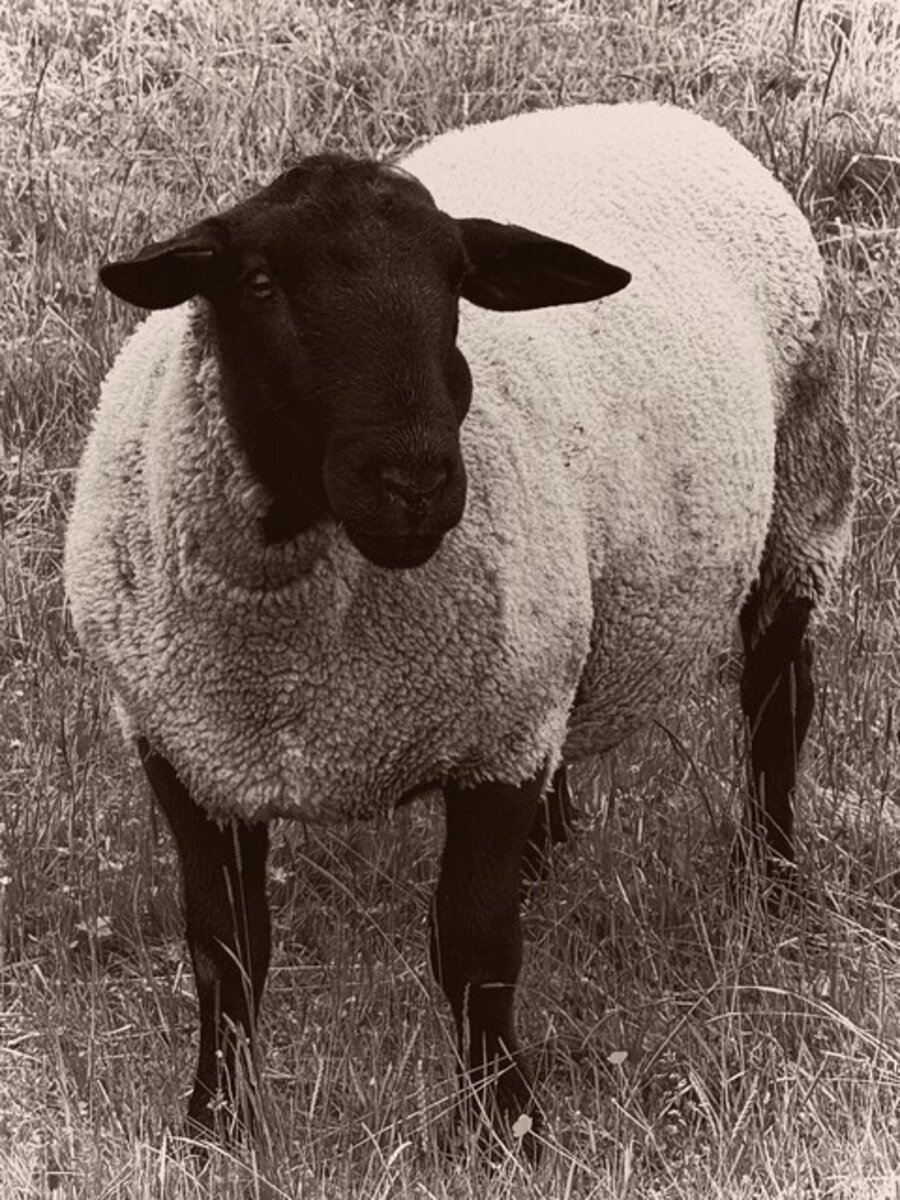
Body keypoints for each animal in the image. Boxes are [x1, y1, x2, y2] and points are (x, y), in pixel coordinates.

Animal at [64, 101, 855, 1158]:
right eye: (260, 281)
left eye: (455, 282)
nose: (416, 480)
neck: (296, 665)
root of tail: (640, 108)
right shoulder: (186, 747)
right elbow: (224, 947)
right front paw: (215, 1120)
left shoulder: (496, 740)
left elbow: (475, 944)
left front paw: (505, 1120)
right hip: (559, 634)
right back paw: (551, 862)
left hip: (801, 500)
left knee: (777, 710)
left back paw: (771, 883)